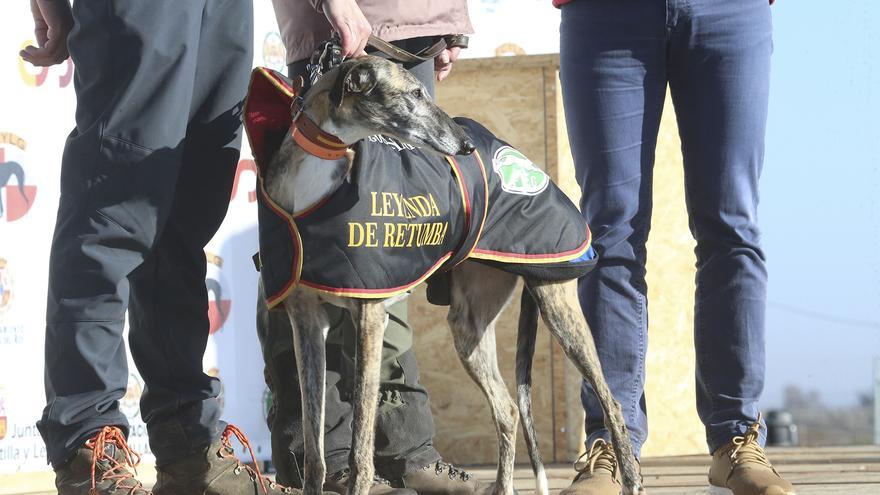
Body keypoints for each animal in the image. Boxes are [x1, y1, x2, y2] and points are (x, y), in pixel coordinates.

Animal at [258, 56, 644, 495]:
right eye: (413, 94)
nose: (466, 146)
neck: (319, 171)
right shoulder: (305, 320)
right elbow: (315, 447)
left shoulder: (369, 316)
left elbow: (360, 445)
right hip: (469, 326)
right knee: (508, 409)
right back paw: (504, 487)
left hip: (557, 306)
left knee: (611, 401)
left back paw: (630, 479)